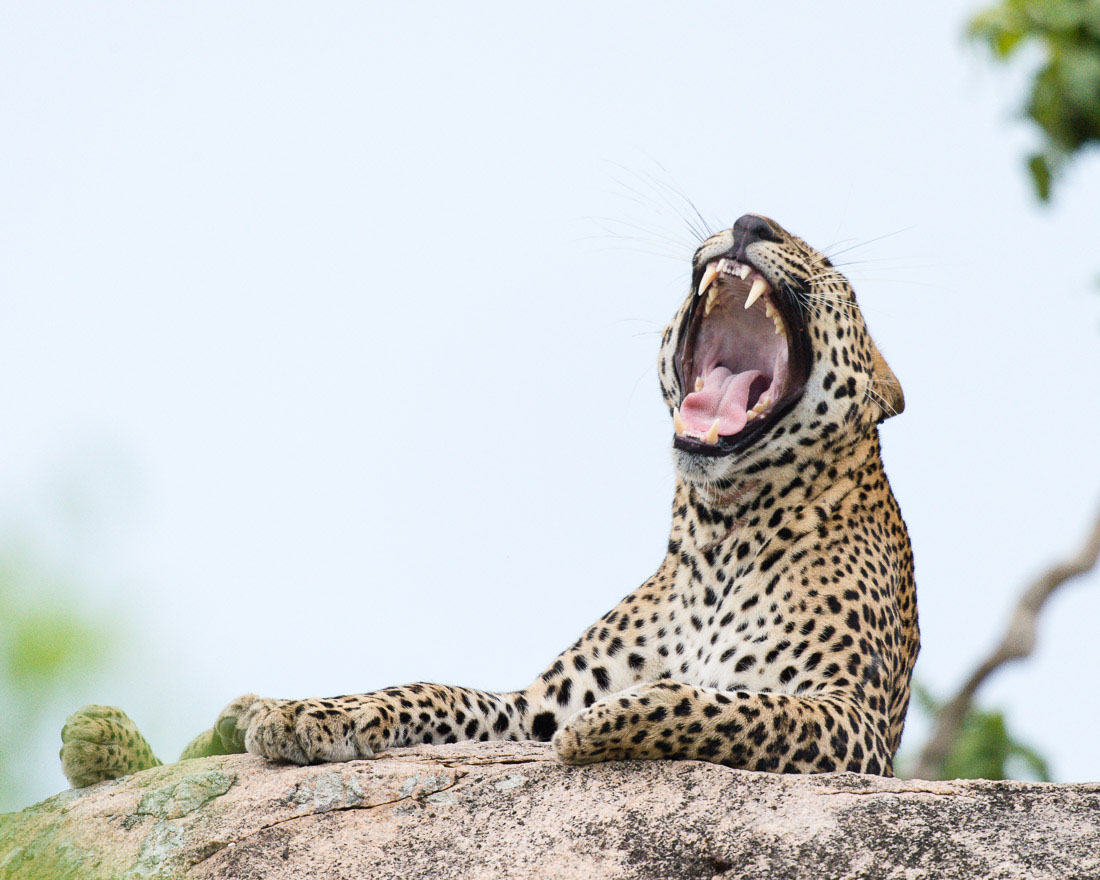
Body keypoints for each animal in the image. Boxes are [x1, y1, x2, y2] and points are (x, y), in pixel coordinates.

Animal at [62, 211, 919, 783]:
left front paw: (608, 725)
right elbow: (435, 689)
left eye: (830, 264)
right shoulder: (532, 706)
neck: (721, 532)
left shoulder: (851, 723)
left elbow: (724, 705)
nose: (749, 221)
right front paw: (312, 714)